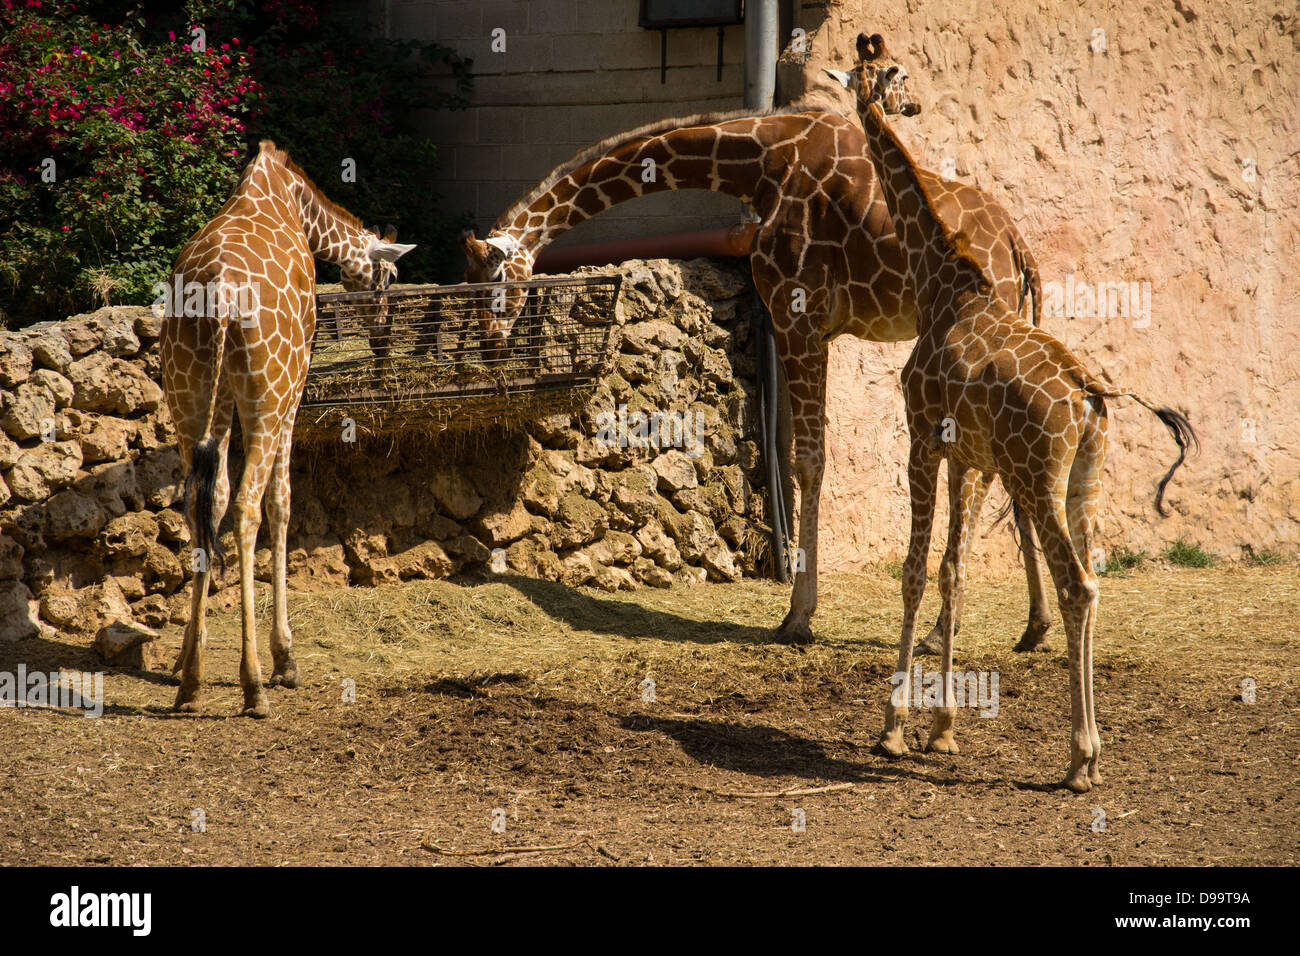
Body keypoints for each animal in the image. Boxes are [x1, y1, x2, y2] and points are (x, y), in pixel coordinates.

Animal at [161, 141, 413, 717]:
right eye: (388, 279)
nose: (383, 336)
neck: (294, 198)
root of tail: (219, 298)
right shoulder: (294, 389)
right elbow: (282, 501)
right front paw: (285, 658)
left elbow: (214, 500)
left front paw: (187, 659)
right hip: (267, 394)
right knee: (248, 506)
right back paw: (255, 683)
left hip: (188, 397)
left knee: (201, 503)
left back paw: (191, 679)